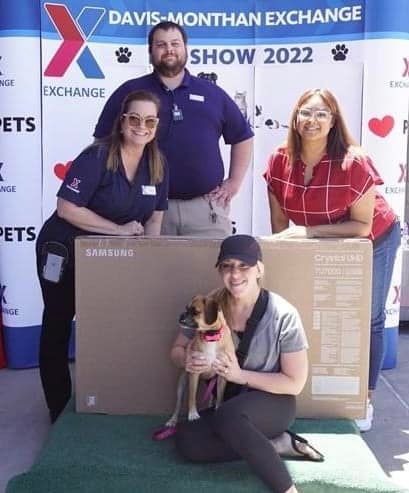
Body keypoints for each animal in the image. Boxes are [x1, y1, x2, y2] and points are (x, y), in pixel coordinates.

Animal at [165, 293, 235, 427]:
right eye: (186, 309)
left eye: (195, 312)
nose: (181, 315)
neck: (211, 335)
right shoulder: (194, 373)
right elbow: (192, 397)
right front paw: (193, 414)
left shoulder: (222, 375)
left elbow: (220, 395)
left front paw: (218, 408)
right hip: (182, 385)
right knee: (178, 406)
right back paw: (173, 420)